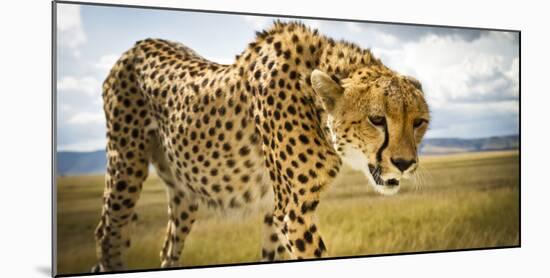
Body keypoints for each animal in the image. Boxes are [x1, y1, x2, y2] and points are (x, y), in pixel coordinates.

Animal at [92, 21, 432, 272]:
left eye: (418, 122)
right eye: (376, 120)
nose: (404, 163)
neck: (315, 104)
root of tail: (138, 45)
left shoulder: (275, 211)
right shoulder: (293, 212)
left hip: (184, 190)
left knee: (168, 246)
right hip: (125, 166)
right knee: (108, 232)